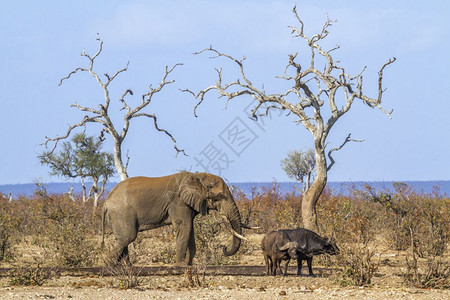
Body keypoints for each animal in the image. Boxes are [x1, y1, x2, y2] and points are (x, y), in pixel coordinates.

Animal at [100, 172, 244, 266]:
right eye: (220, 197)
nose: (224, 248)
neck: (196, 175)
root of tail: (106, 202)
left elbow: (190, 230)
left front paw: (189, 264)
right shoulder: (178, 202)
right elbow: (184, 227)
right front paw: (181, 266)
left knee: (123, 239)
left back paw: (125, 267)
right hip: (122, 212)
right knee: (128, 237)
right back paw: (109, 265)